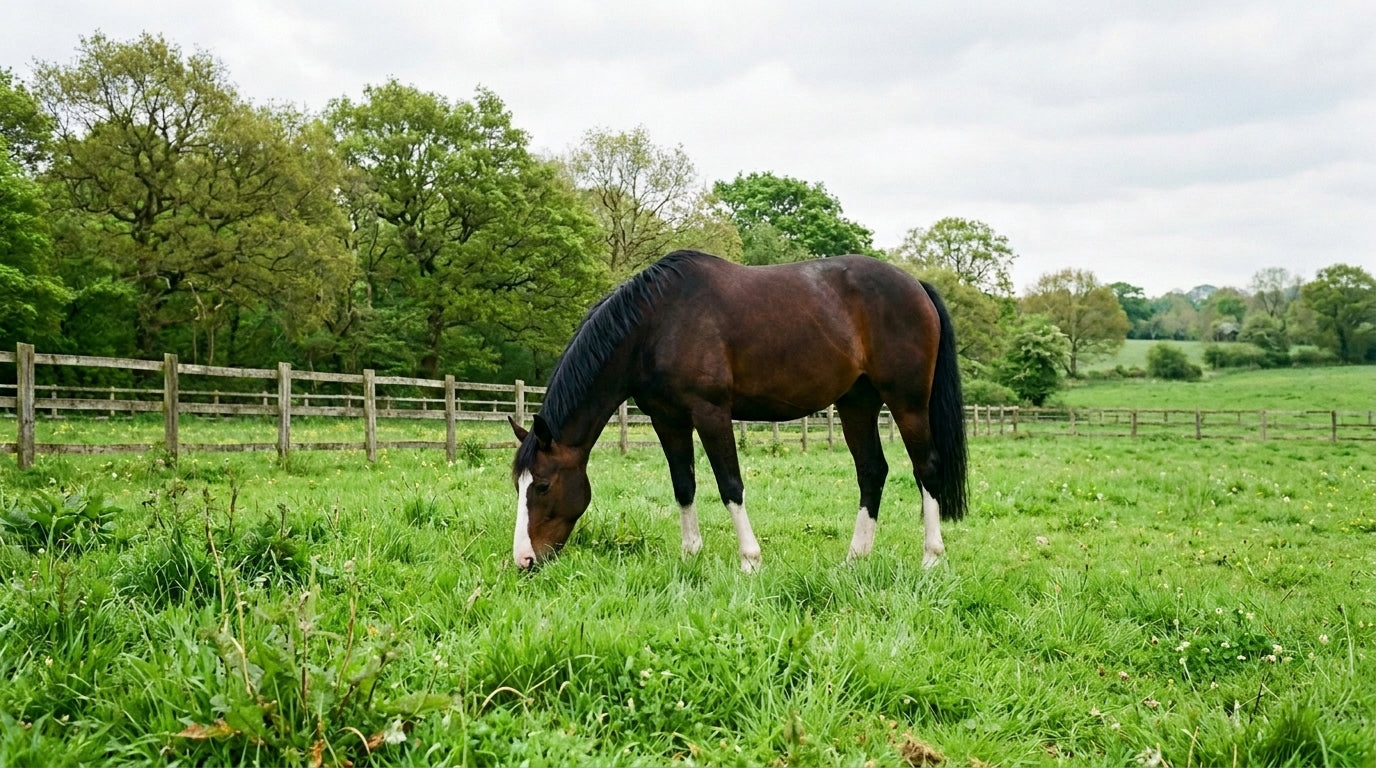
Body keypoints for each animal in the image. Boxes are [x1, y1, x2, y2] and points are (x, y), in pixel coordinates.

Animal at [509, 249, 967, 572]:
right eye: (518, 485)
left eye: (543, 486)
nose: (524, 560)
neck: (656, 324)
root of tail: (916, 285)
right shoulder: (667, 418)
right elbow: (684, 485)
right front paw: (690, 555)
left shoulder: (710, 412)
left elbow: (730, 484)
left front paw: (750, 560)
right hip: (857, 403)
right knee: (872, 471)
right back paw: (856, 559)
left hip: (907, 402)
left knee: (926, 468)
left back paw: (931, 557)